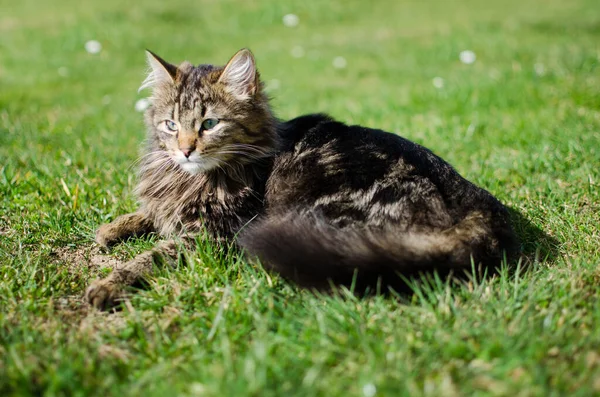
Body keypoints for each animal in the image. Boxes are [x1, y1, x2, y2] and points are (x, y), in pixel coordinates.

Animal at [85, 48, 520, 310]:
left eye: (209, 124)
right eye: (171, 125)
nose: (186, 150)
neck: (196, 178)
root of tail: (478, 202)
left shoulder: (213, 235)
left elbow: (151, 257)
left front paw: (107, 285)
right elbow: (150, 213)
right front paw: (113, 228)